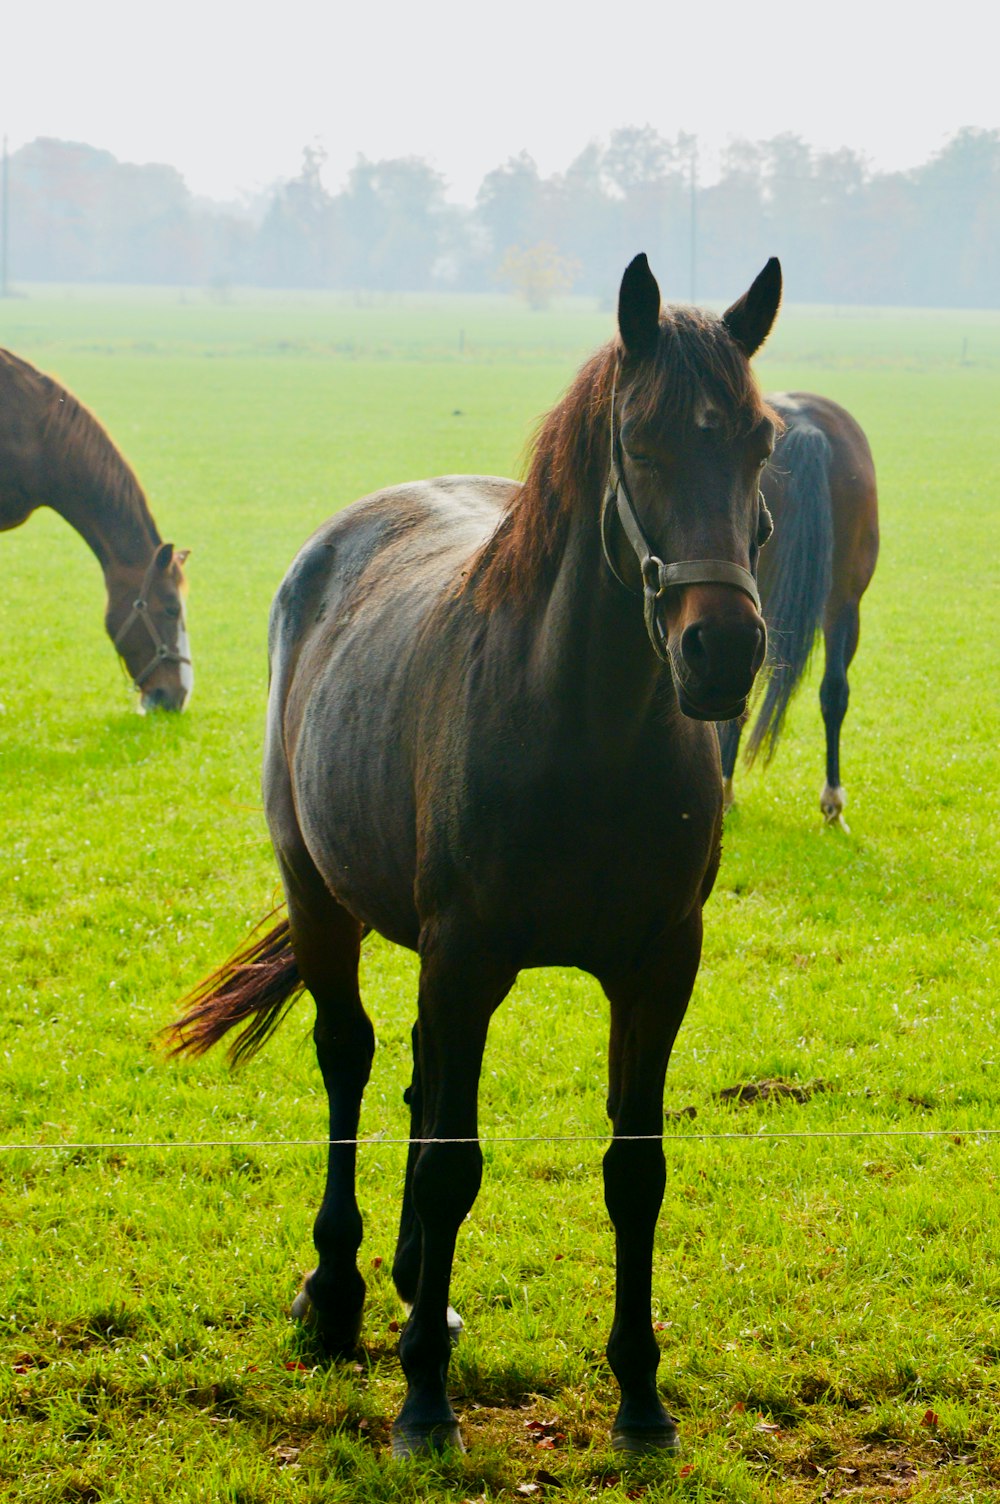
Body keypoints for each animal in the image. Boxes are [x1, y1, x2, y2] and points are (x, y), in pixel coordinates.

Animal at [169, 255, 781, 1455]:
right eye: (639, 440)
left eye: (761, 441)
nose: (723, 650)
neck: (584, 729)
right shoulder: (467, 957)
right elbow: (454, 1162)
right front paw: (423, 1402)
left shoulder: (657, 967)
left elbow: (634, 1168)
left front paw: (640, 1396)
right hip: (321, 900)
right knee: (352, 1061)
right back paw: (341, 1292)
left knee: (415, 1074)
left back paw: (420, 1287)